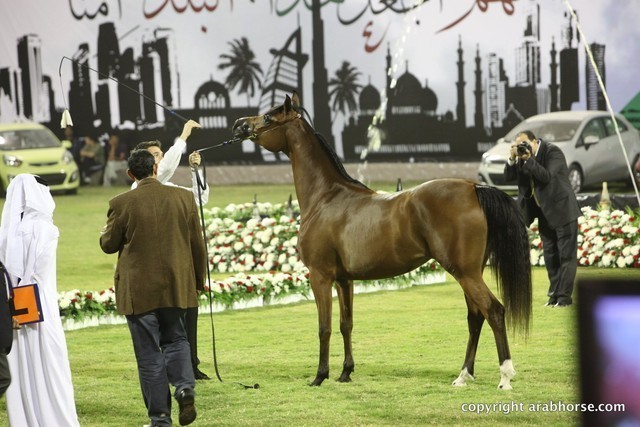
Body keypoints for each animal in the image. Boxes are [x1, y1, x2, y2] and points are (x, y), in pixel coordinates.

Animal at [232, 93, 532, 390]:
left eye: (268, 117)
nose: (238, 125)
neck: (326, 197)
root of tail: (474, 187)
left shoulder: (320, 276)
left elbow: (324, 327)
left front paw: (320, 376)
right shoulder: (344, 280)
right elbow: (346, 324)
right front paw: (345, 372)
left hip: (466, 273)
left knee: (494, 311)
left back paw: (505, 377)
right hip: (470, 272)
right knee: (475, 316)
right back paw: (463, 375)